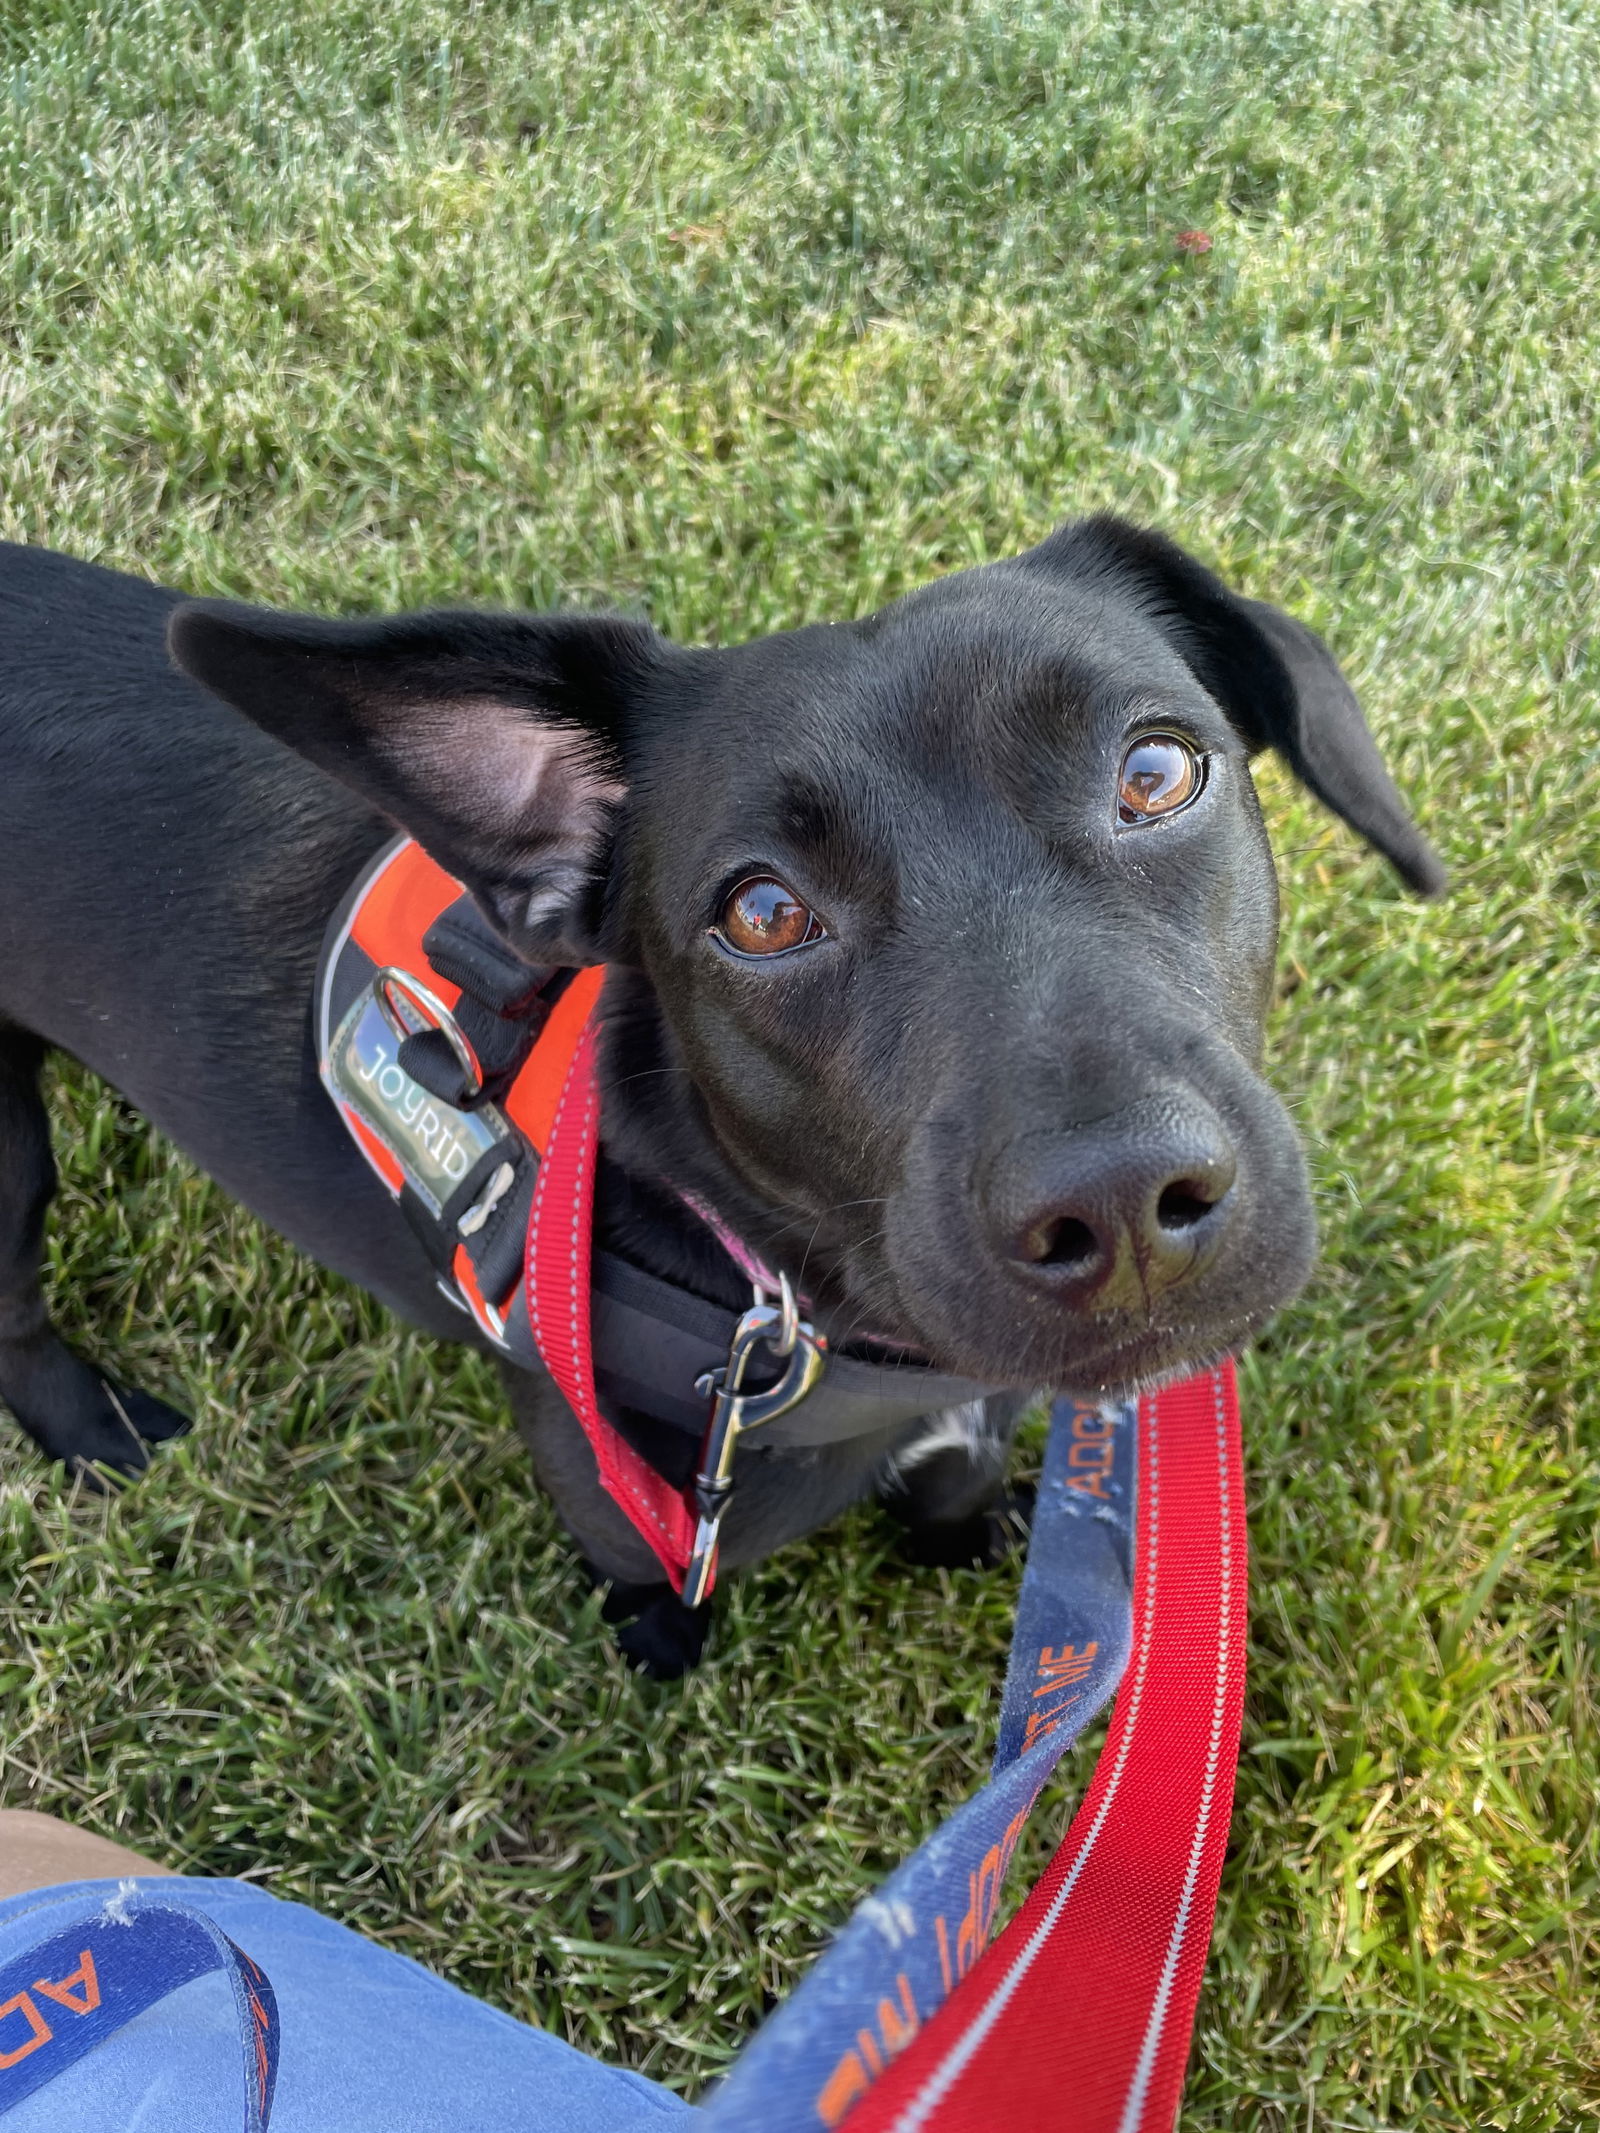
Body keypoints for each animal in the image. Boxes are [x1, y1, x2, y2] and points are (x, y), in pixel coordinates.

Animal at [0, 516, 1450, 1663]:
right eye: (762, 914)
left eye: (1156, 772)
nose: (1124, 1203)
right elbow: (657, 1589)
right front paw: (663, 1647)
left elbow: (955, 1484)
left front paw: (977, 1542)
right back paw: (99, 1430)